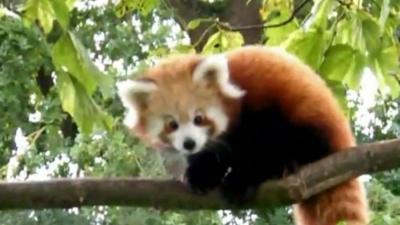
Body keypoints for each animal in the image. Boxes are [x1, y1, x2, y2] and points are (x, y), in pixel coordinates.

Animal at [115, 45, 368, 225]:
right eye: (172, 125)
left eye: (199, 118)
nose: (189, 143)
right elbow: (211, 155)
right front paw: (201, 175)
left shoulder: (259, 105)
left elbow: (262, 148)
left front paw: (241, 179)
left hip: (314, 120)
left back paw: (287, 164)